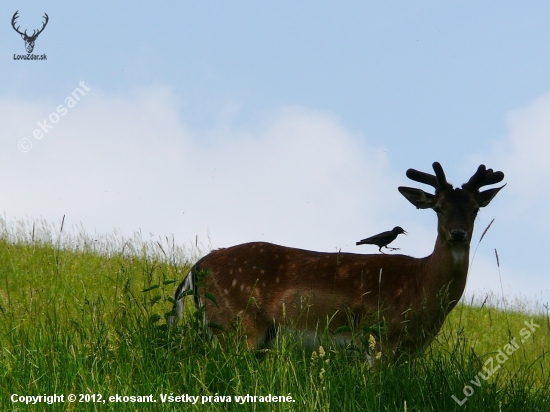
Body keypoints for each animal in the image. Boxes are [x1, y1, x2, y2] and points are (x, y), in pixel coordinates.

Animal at [170, 163, 506, 364]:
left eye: (475, 209)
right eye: (438, 208)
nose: (457, 233)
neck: (420, 285)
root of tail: (196, 268)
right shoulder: (381, 337)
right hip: (235, 322)